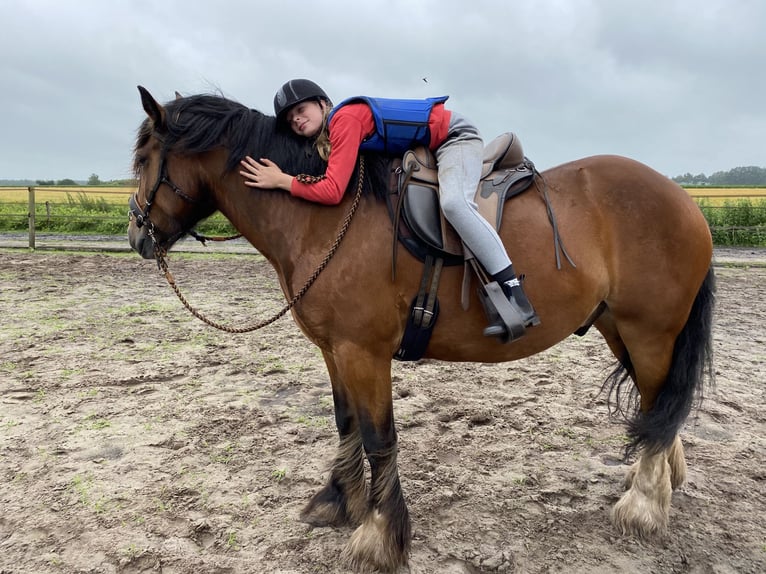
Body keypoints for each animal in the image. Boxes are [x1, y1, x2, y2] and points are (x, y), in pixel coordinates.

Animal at [128, 86, 715, 572]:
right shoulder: (334, 351)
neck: (324, 219)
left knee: (661, 401)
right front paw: (338, 502)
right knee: (656, 405)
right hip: (619, 327)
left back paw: (642, 505)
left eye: (143, 160)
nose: (136, 234)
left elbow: (378, 437)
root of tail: (682, 199)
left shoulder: (363, 353)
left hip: (649, 332)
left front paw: (378, 537)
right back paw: (657, 481)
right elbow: (346, 424)